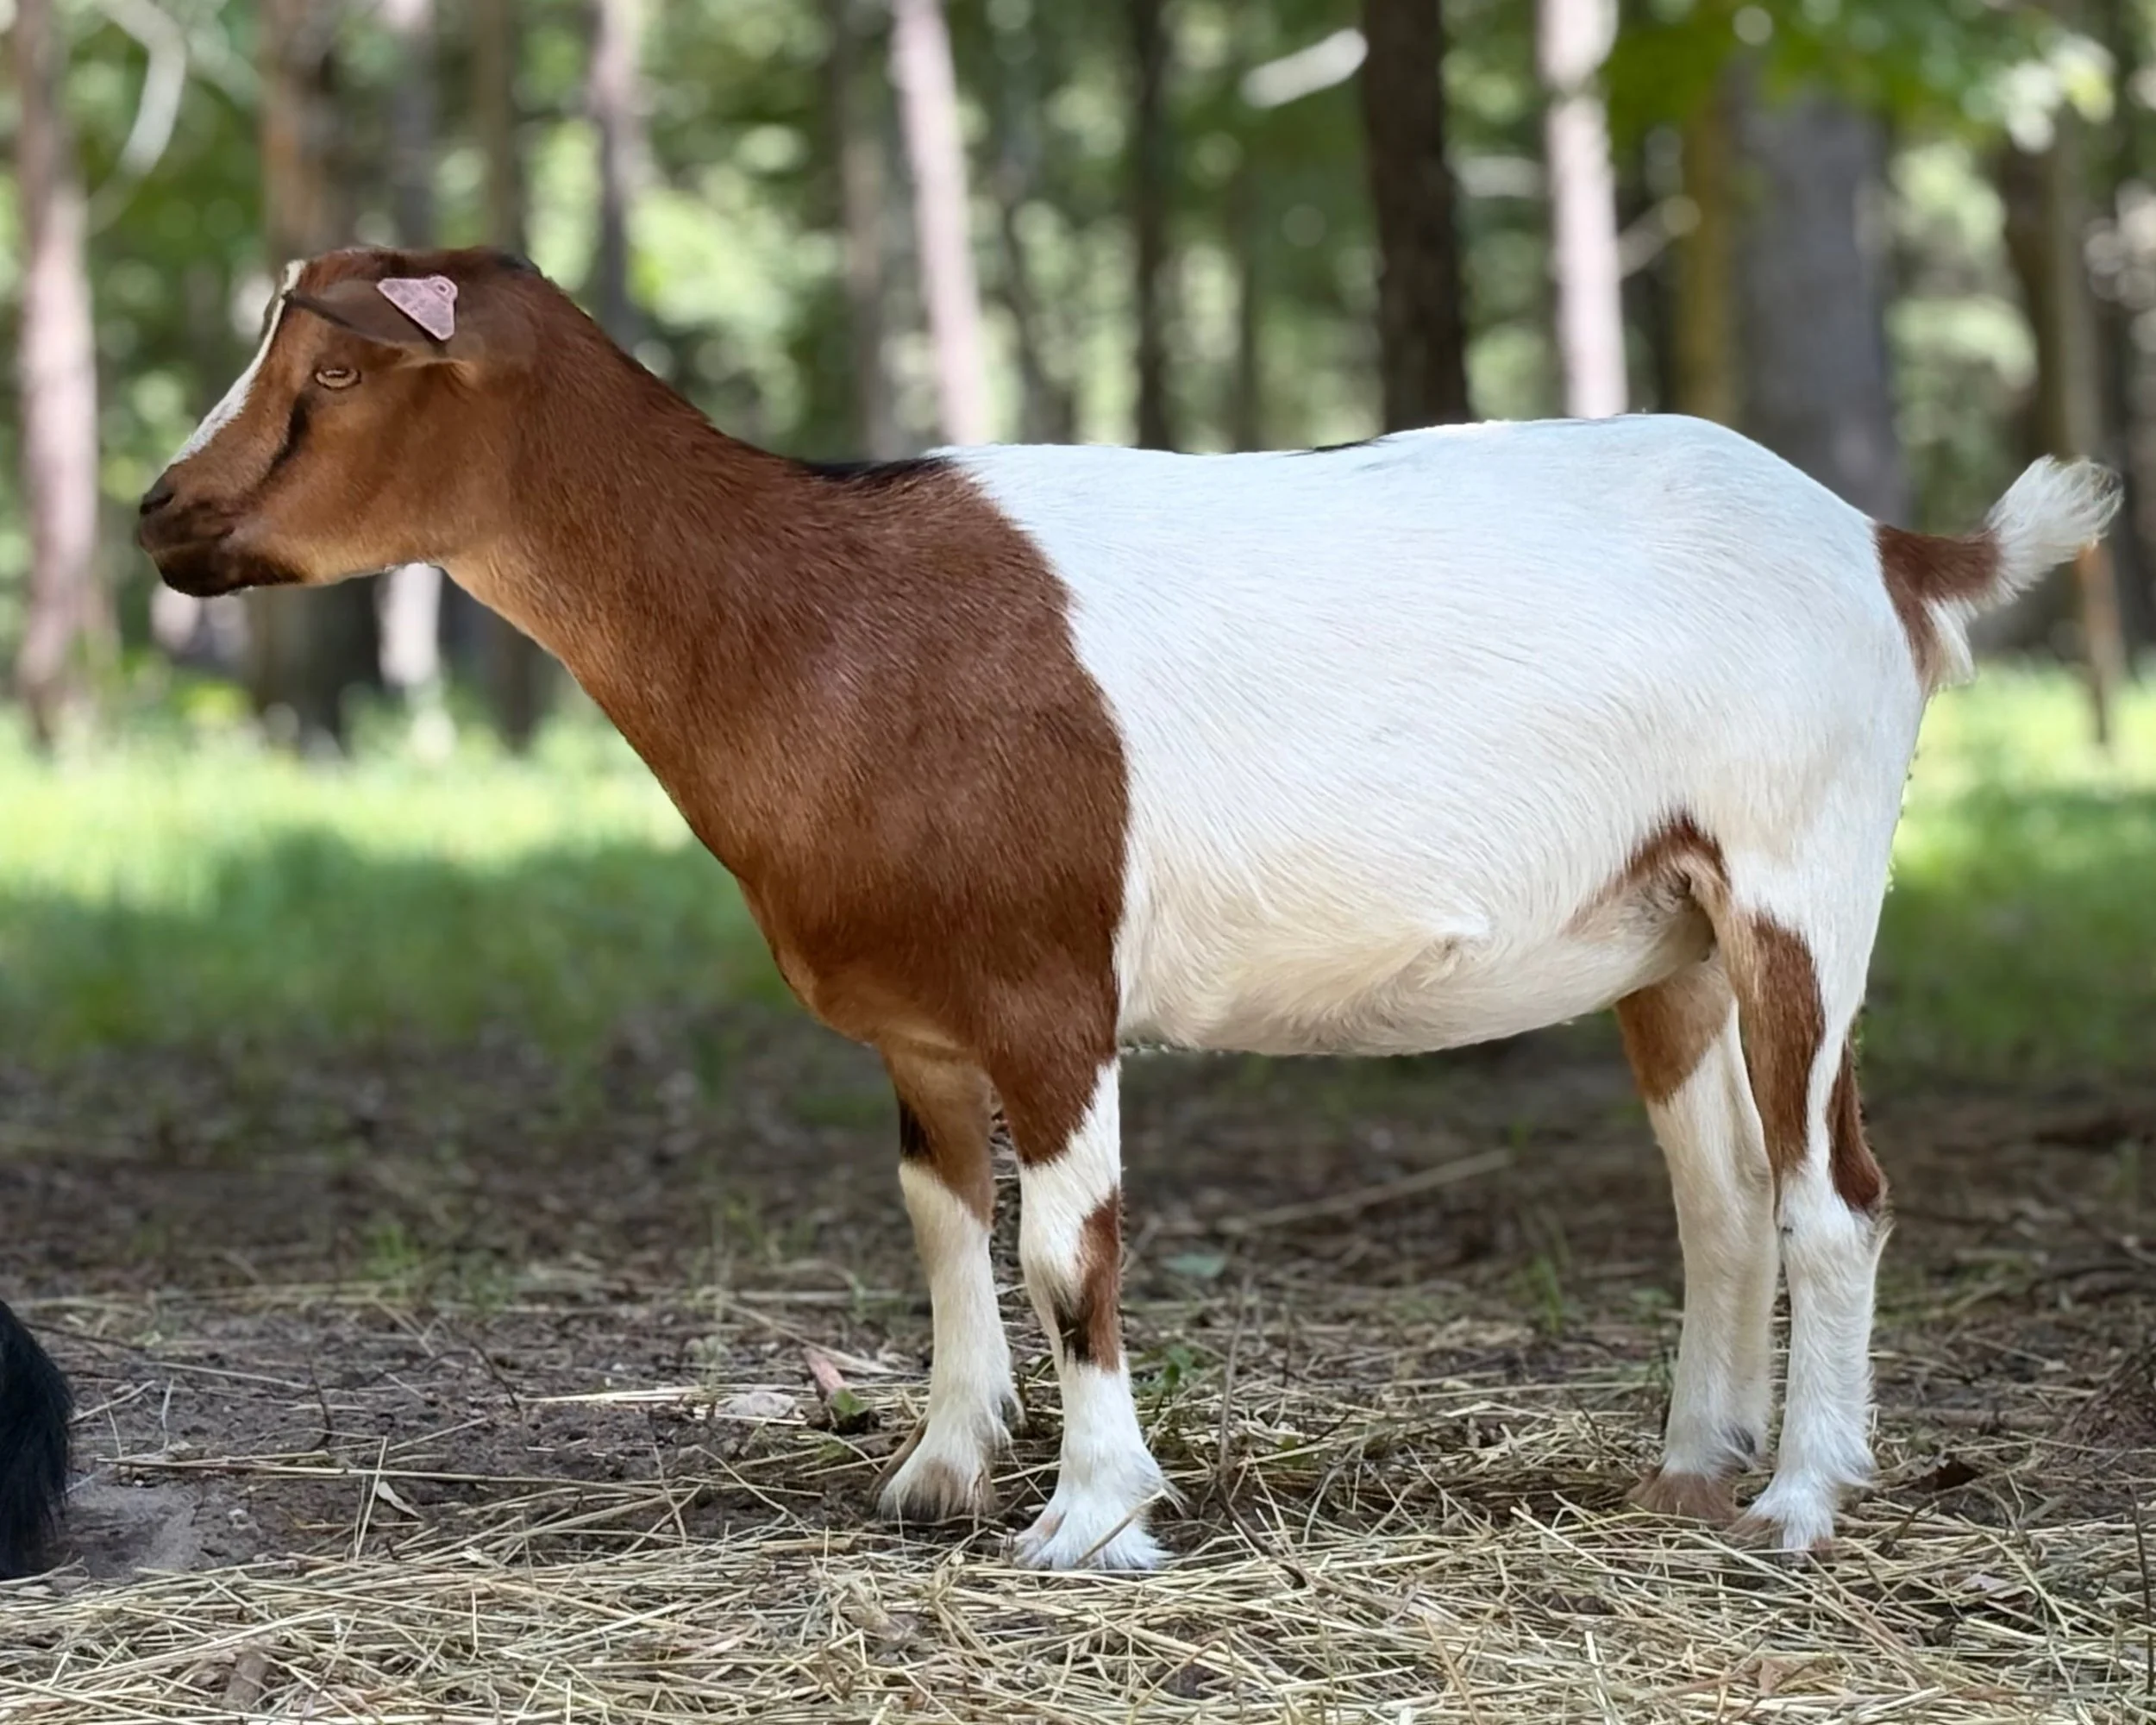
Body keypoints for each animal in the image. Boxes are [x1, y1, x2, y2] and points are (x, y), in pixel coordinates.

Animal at [113, 245, 2116, 1570]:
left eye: (337, 377)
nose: (160, 514)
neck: (820, 619)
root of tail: (1889, 552)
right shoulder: (922, 1020)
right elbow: (941, 1225)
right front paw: (935, 1472)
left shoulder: (1049, 989)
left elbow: (1071, 1249)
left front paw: (1090, 1518)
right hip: (1667, 930)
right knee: (1718, 1199)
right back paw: (1692, 1463)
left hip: (1799, 874)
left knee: (1835, 1191)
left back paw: (1799, 1496)